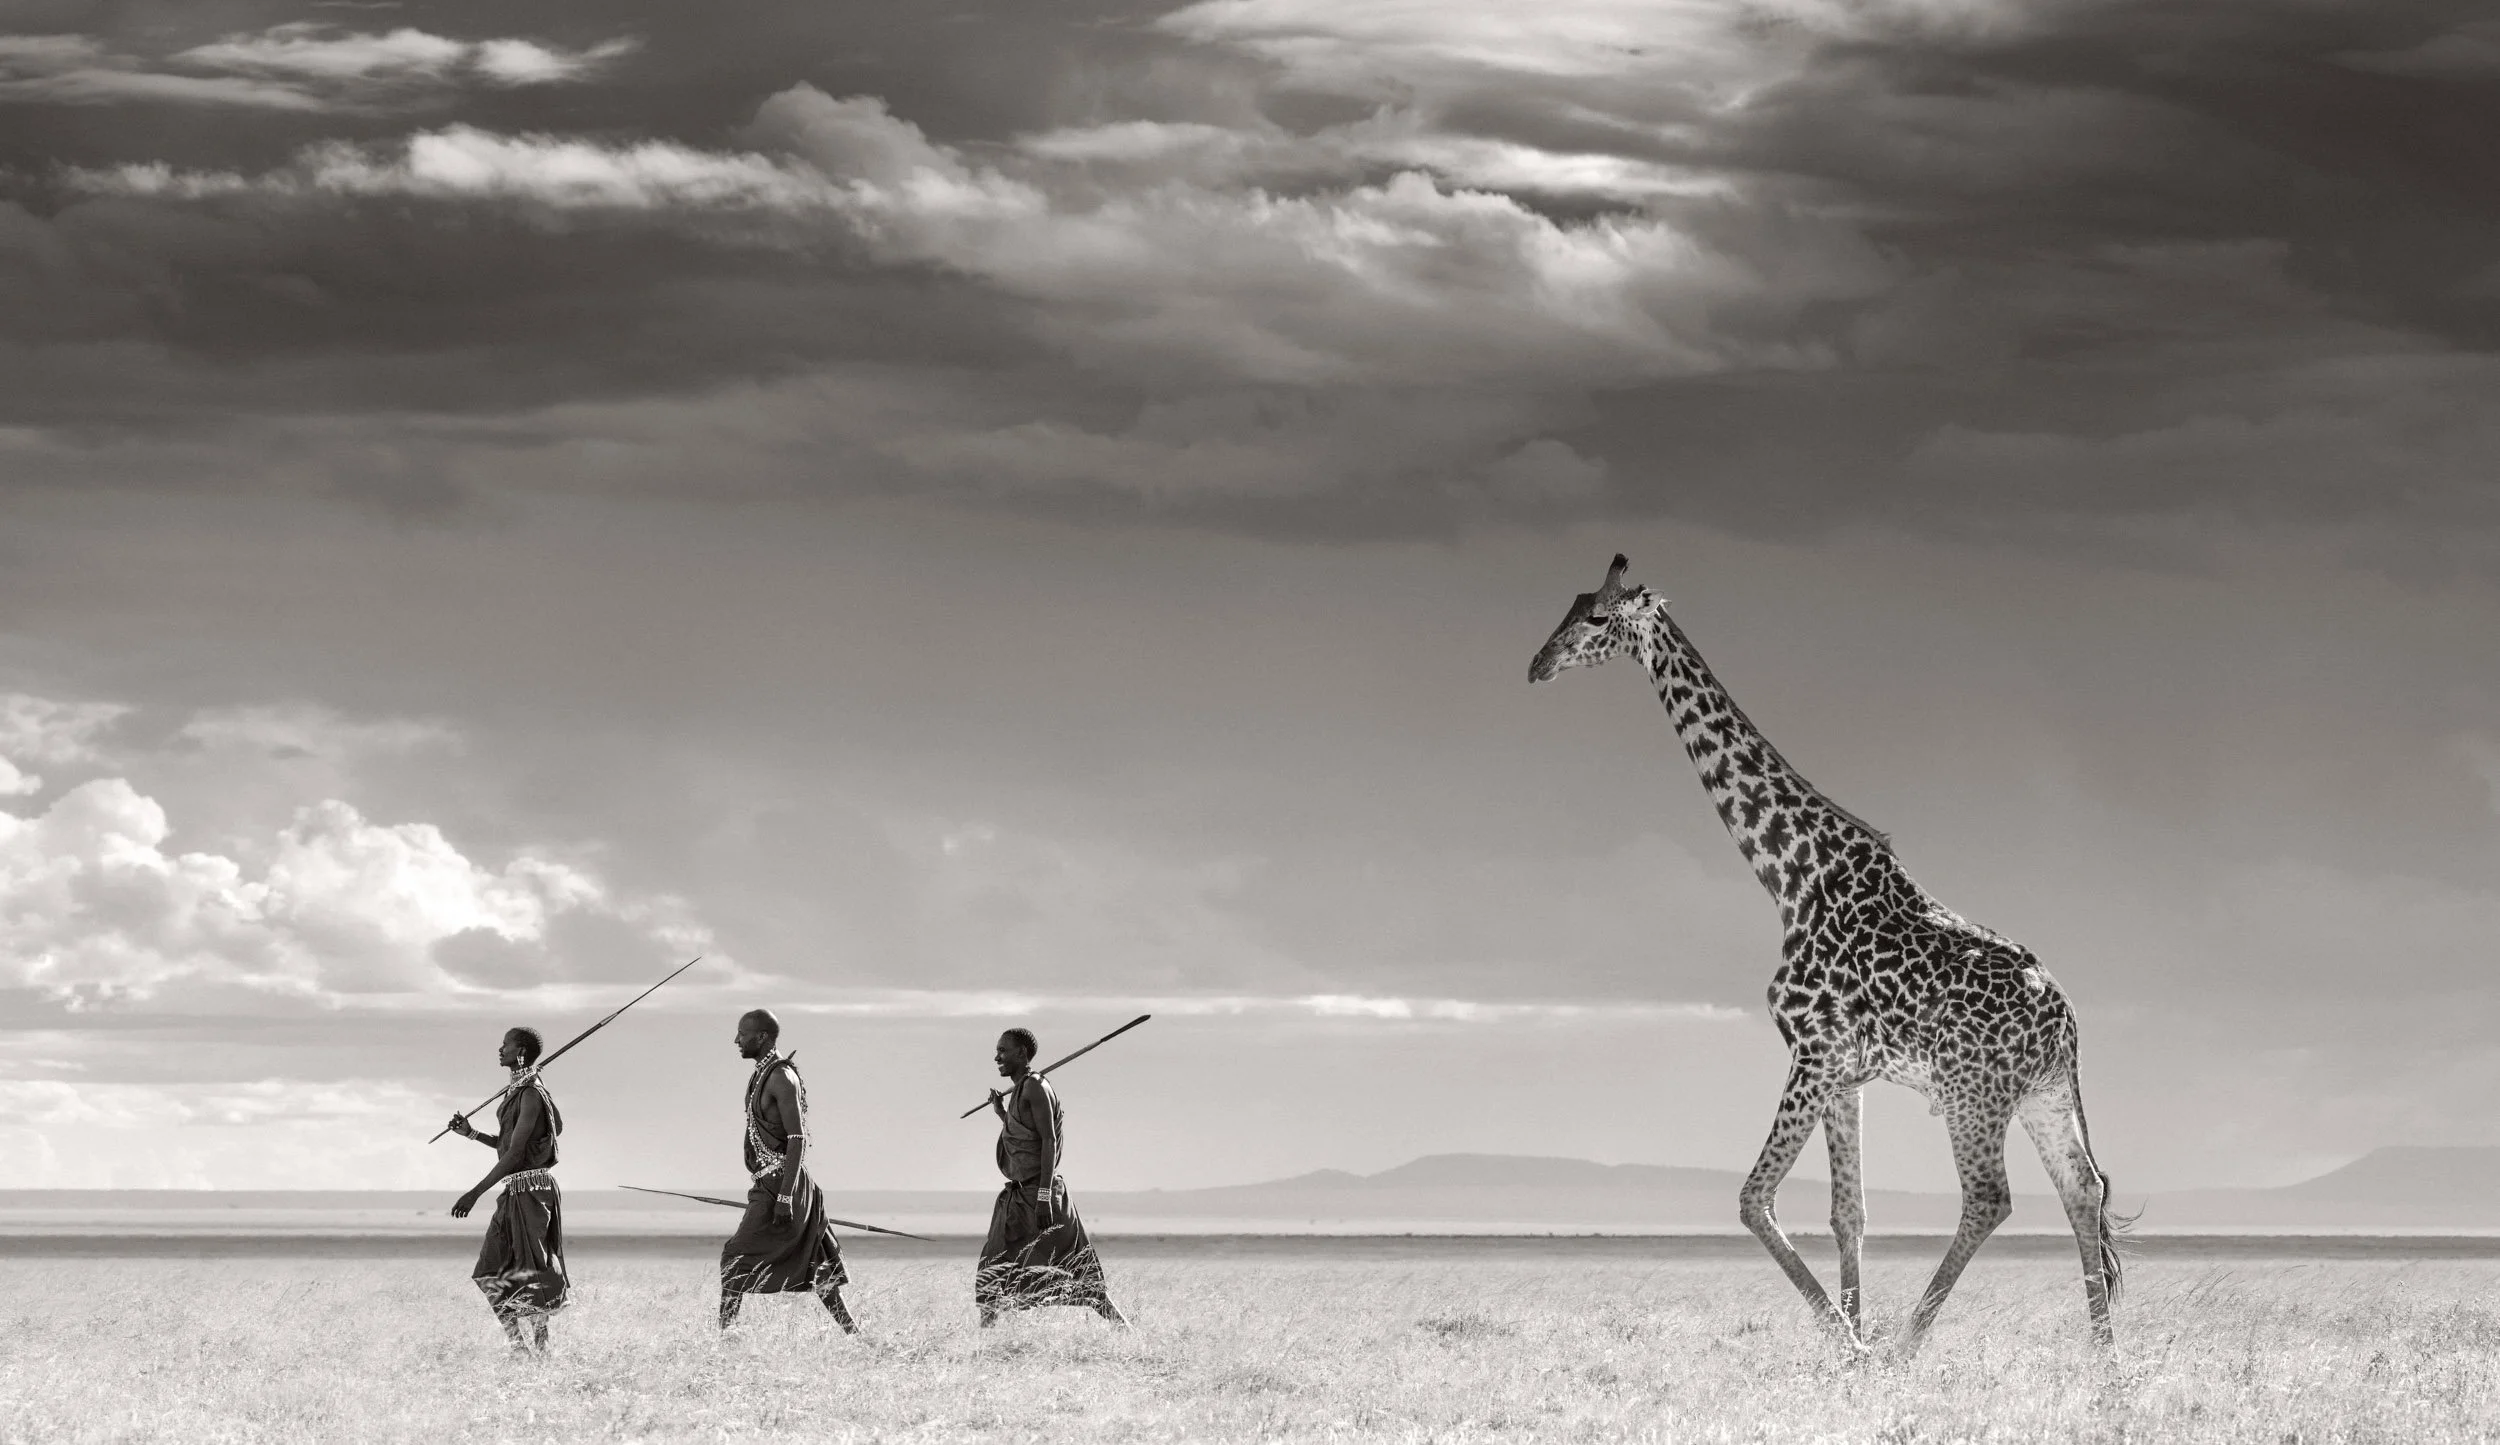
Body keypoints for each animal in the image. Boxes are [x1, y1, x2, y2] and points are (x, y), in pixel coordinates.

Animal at [1530, 554, 2122, 1350]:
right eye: (1570, 604)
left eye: (1597, 618)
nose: (1537, 664)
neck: (1791, 872)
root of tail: (2066, 1023)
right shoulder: (1846, 1073)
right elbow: (1850, 1213)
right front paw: (1850, 1333)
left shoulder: (1812, 1052)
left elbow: (1753, 1198)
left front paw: (1853, 1343)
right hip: (2042, 1095)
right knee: (2083, 1187)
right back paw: (2104, 1353)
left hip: (1973, 1095)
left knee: (1989, 1198)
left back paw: (1906, 1347)